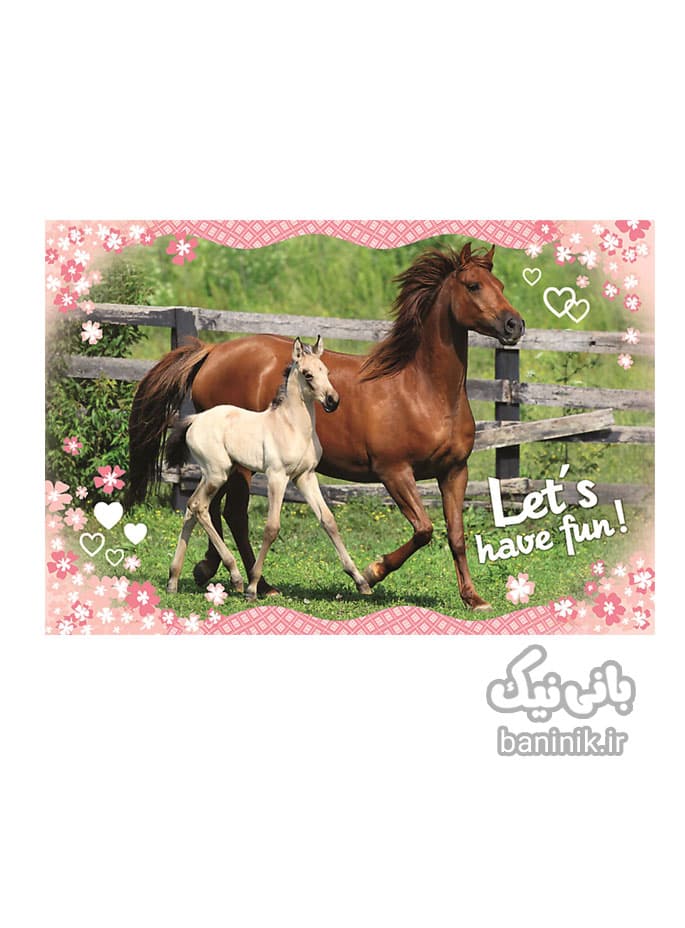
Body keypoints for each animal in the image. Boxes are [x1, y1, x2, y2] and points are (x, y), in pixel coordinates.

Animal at [165, 336, 373, 600]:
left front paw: (361, 581)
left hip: (215, 474)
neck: (292, 426)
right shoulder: (277, 476)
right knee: (199, 507)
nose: (332, 401)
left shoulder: (305, 477)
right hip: (217, 473)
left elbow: (328, 521)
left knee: (191, 509)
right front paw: (253, 587)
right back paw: (236, 578)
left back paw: (173, 580)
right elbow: (271, 528)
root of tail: (195, 419)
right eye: (307, 374)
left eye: (325, 371)